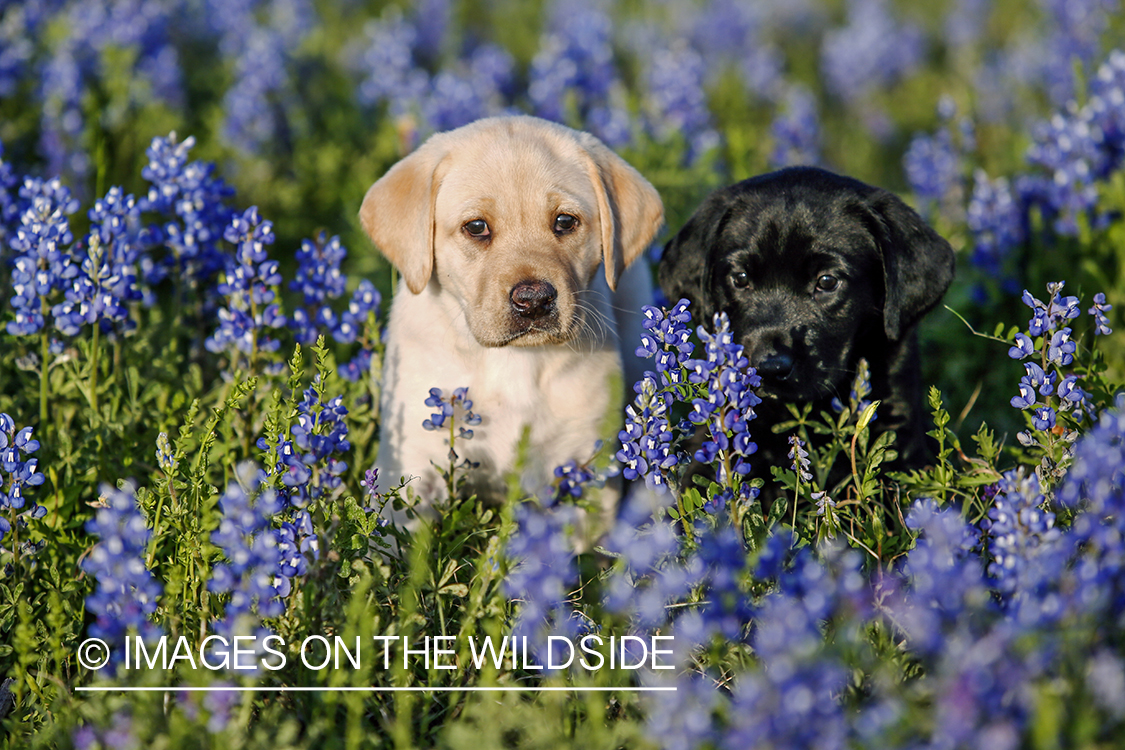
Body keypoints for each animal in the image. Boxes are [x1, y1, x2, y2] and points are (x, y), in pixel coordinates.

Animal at [357, 117, 657, 519]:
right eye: (476, 227)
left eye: (565, 221)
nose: (533, 301)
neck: (513, 360)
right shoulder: (409, 461)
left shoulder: (581, 466)